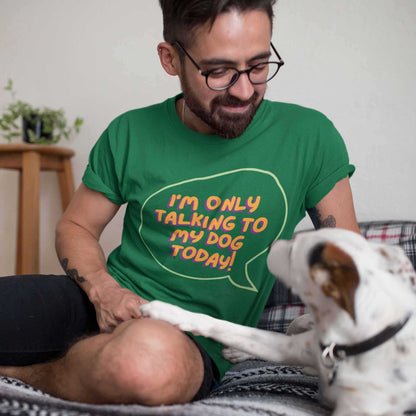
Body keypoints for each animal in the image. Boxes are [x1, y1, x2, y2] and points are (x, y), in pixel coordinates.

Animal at [141, 229, 416, 414]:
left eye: (293, 251)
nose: (271, 243)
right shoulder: (295, 347)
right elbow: (226, 327)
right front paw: (168, 311)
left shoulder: (361, 408)